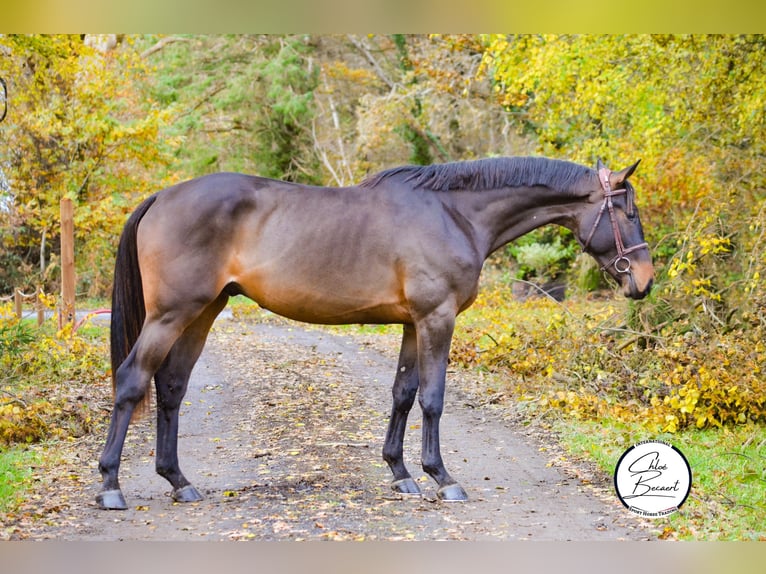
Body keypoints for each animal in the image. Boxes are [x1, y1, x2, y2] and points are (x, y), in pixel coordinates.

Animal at [96, 156, 656, 508]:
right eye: (627, 210)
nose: (644, 280)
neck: (454, 214)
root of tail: (162, 196)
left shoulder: (412, 323)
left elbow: (403, 394)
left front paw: (401, 474)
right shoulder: (437, 319)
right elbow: (433, 398)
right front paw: (442, 477)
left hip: (203, 312)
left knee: (171, 387)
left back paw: (178, 481)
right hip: (171, 314)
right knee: (131, 381)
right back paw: (110, 487)